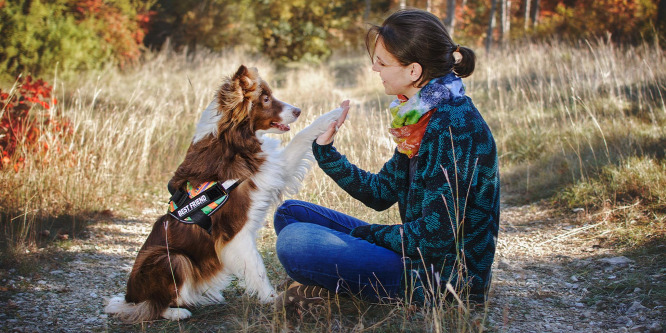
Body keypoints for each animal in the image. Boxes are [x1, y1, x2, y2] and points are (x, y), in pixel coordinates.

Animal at [105, 65, 342, 322]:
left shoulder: (274, 168)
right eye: (265, 99)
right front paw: (272, 299)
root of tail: (130, 297)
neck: (233, 142)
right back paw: (177, 312)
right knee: (153, 306)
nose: (298, 111)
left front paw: (334, 113)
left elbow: (301, 136)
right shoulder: (235, 230)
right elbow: (257, 266)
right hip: (171, 258)